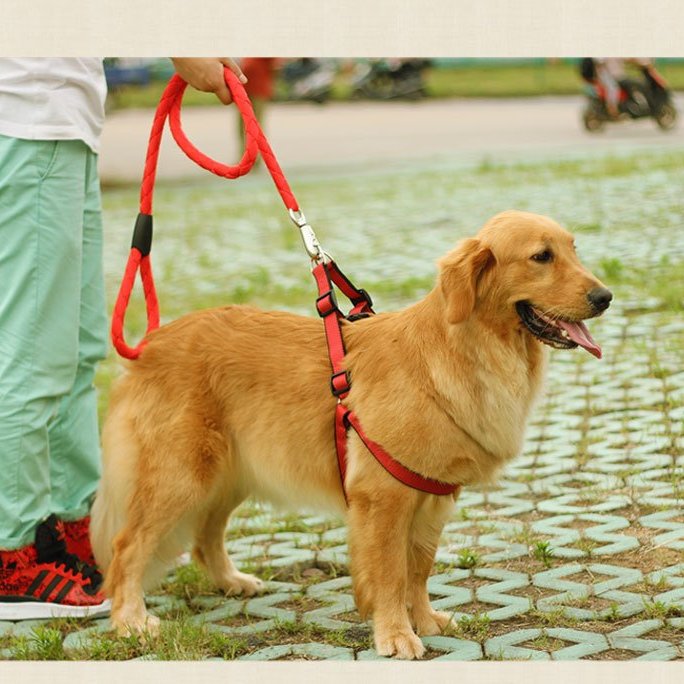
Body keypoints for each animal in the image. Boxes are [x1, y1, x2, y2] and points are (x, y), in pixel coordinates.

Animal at [89, 208, 608, 656]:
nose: (605, 298)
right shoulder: (384, 498)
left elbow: (419, 570)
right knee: (126, 547)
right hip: (181, 476)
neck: (465, 348)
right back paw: (130, 619)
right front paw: (395, 634)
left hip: (229, 474)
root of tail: (150, 345)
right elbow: (391, 574)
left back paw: (230, 581)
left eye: (573, 249)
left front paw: (424, 621)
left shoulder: (432, 496)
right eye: (541, 257)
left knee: (205, 535)